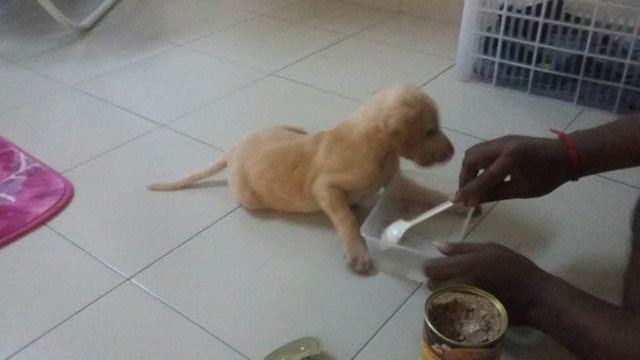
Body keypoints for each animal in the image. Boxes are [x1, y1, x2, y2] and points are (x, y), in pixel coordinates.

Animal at [149, 84, 460, 274]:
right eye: (429, 131)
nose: (453, 151)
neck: (377, 149)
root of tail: (233, 149)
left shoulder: (396, 180)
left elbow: (425, 191)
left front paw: (454, 200)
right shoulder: (325, 188)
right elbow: (345, 219)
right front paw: (356, 252)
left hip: (291, 126)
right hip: (249, 197)